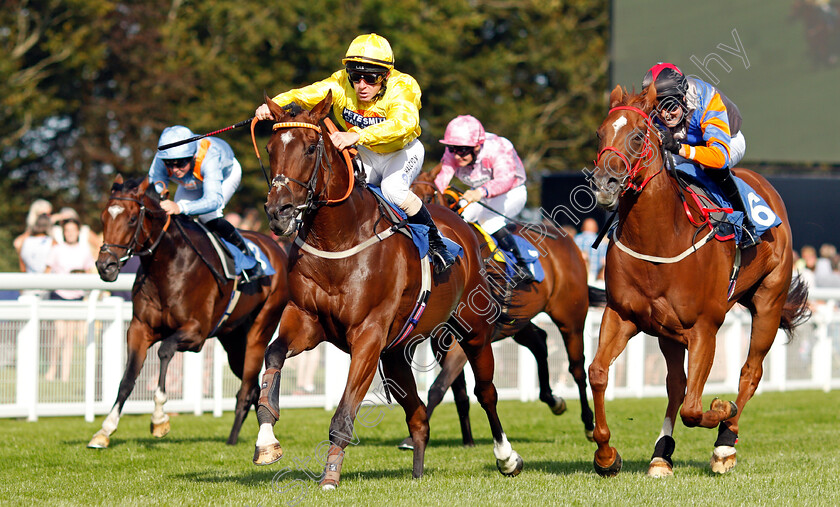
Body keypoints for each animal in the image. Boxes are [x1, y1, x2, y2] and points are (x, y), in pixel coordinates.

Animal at [86, 177, 288, 450]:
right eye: (103, 217)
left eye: (131, 219)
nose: (105, 266)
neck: (167, 265)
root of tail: (277, 249)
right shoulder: (139, 328)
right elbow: (127, 378)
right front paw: (104, 430)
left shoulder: (196, 333)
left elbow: (164, 351)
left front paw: (159, 419)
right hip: (234, 342)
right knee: (253, 388)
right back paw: (236, 438)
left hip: (260, 330)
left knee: (246, 389)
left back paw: (241, 442)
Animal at [256, 93, 520, 490]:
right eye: (272, 148)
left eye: (310, 148)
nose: (278, 211)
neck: (339, 238)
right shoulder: (307, 320)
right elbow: (272, 355)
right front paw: (266, 440)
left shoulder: (368, 334)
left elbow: (345, 411)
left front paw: (330, 475)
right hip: (397, 353)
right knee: (419, 415)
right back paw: (417, 473)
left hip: (473, 330)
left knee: (486, 393)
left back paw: (507, 458)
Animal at [398, 166, 600, 448]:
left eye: (427, 197)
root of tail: (568, 240)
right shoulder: (441, 341)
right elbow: (457, 392)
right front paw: (468, 440)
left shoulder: (466, 339)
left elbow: (438, 387)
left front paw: (411, 437)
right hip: (518, 322)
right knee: (539, 341)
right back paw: (553, 400)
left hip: (570, 315)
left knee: (577, 367)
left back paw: (589, 423)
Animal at [588, 85, 812, 478]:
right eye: (600, 134)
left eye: (638, 135)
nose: (604, 184)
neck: (659, 237)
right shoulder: (622, 314)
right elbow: (599, 372)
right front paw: (606, 455)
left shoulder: (704, 327)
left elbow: (695, 409)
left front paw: (722, 411)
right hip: (667, 331)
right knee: (676, 384)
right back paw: (661, 454)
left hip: (769, 301)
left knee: (750, 373)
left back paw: (725, 443)